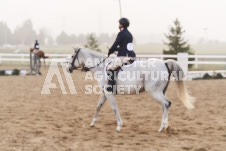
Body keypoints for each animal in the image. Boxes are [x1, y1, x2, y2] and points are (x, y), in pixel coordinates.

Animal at [66, 46, 195, 132]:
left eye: (72, 56)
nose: (68, 69)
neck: (101, 67)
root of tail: (164, 63)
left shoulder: (108, 93)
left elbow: (114, 108)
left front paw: (119, 126)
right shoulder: (104, 93)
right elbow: (98, 107)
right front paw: (92, 123)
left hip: (154, 92)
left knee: (167, 103)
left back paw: (161, 127)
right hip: (160, 92)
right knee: (164, 106)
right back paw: (165, 126)